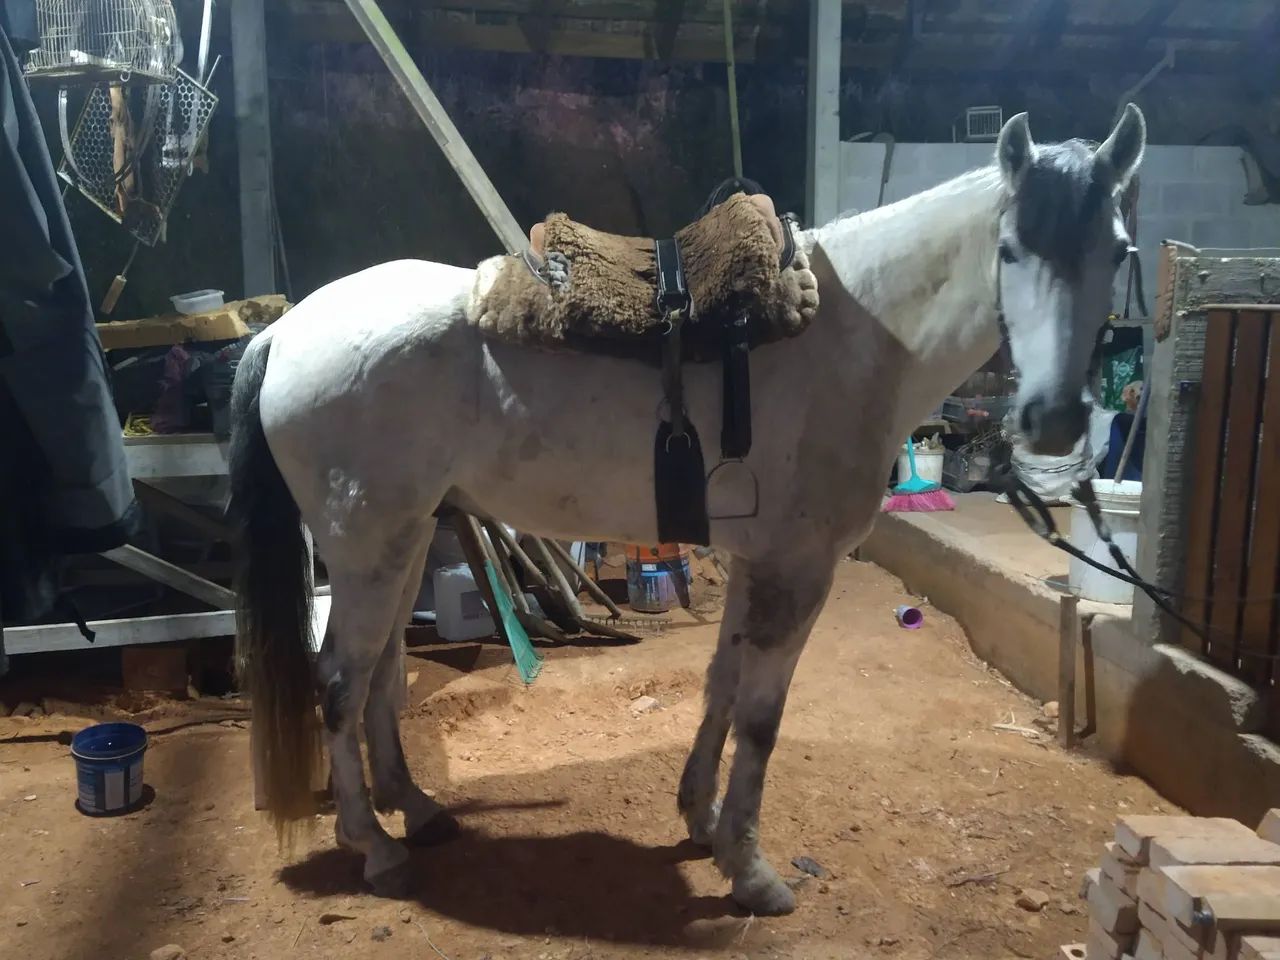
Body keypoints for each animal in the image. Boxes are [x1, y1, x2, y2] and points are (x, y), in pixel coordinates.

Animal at [229, 105, 1146, 915]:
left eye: (1120, 250)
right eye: (1009, 249)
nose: (1055, 420)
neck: (861, 339)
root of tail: (287, 330)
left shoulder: (756, 560)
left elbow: (722, 683)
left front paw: (700, 819)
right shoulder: (798, 569)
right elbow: (763, 716)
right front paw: (751, 871)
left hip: (407, 536)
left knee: (381, 673)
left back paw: (415, 811)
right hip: (367, 544)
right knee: (341, 679)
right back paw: (374, 848)